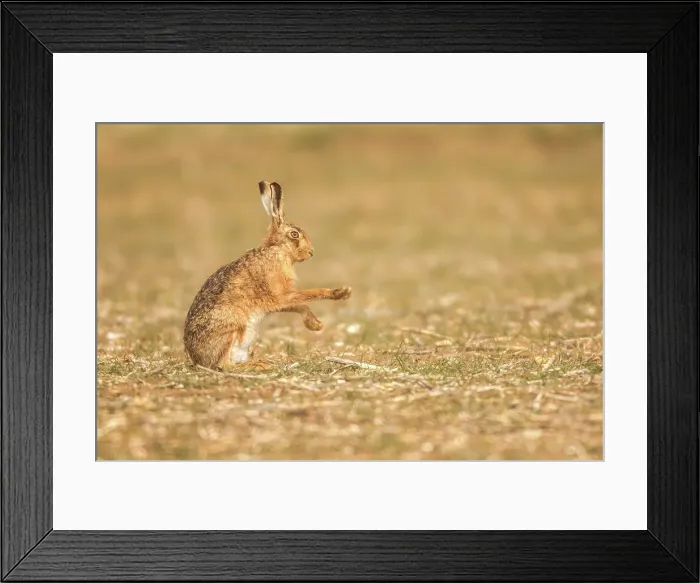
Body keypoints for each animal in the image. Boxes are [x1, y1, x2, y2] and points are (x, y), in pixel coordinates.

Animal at [183, 180, 352, 370]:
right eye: (294, 234)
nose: (311, 252)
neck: (278, 249)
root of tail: (197, 359)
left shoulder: (278, 301)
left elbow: (299, 304)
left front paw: (315, 325)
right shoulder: (278, 294)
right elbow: (308, 295)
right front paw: (340, 293)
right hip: (231, 329)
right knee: (224, 365)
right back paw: (261, 365)